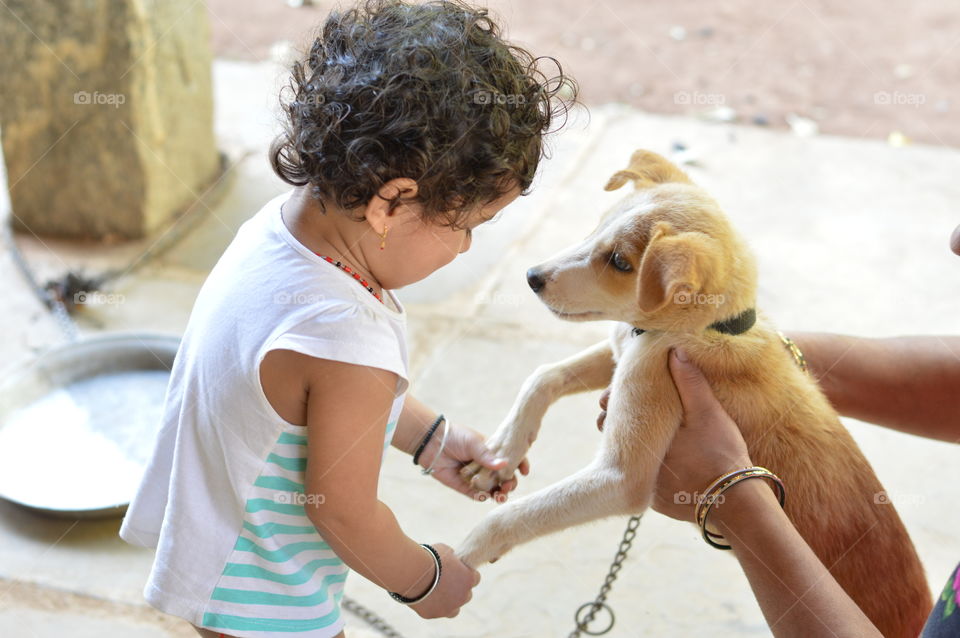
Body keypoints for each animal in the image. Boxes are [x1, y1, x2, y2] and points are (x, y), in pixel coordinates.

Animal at [456, 151, 928, 638]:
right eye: (596, 226)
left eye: (621, 262)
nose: (532, 277)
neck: (706, 327)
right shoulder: (623, 349)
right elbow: (543, 376)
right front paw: (501, 454)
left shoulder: (621, 476)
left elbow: (511, 516)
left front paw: (457, 559)